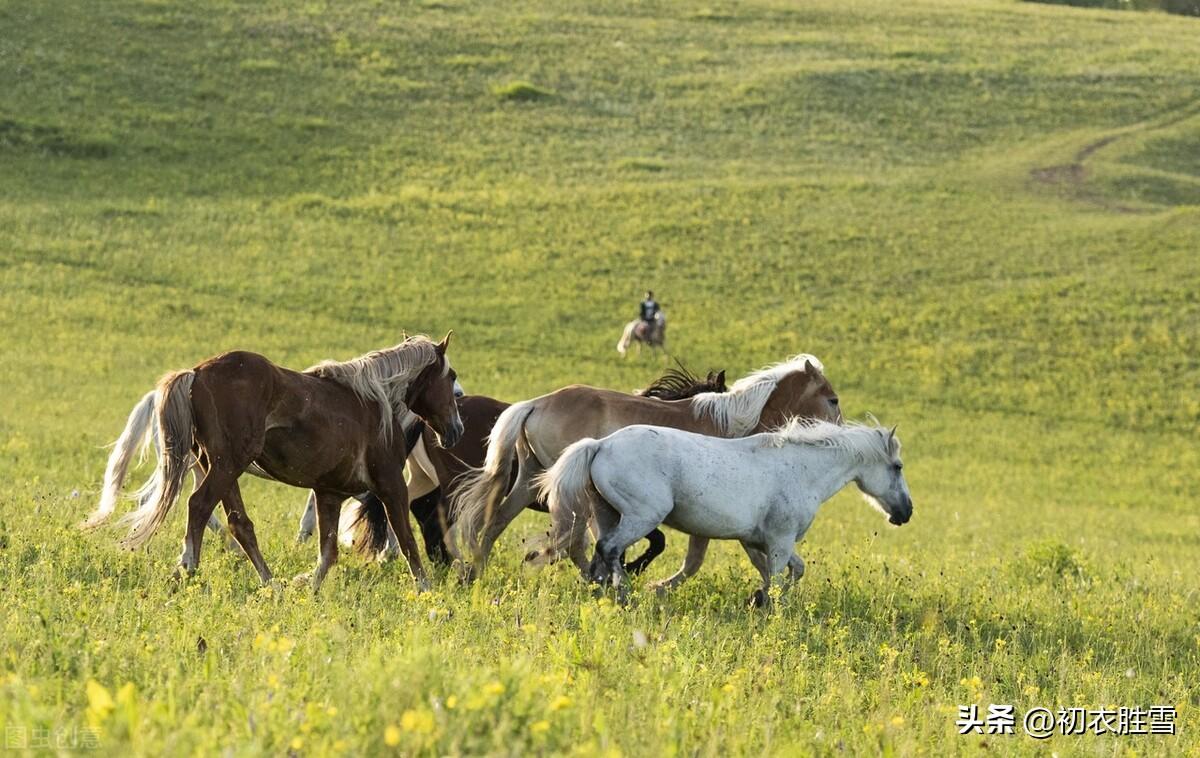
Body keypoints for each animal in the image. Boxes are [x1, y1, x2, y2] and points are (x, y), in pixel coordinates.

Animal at [81, 333, 463, 592]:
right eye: (451, 376)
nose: (456, 429)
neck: (376, 402)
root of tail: (196, 373)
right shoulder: (390, 486)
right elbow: (407, 542)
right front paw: (425, 590)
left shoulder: (329, 493)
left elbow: (328, 553)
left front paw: (307, 588)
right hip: (226, 465)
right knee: (199, 506)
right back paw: (187, 567)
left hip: (215, 466)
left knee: (238, 524)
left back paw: (270, 583)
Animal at [338, 364, 729, 570]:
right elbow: (653, 540)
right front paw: (628, 569)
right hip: (453, 481)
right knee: (437, 515)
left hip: (427, 478)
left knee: (413, 507)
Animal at [446, 352, 840, 578]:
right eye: (833, 399)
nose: (838, 431)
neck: (732, 427)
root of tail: (536, 403)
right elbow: (701, 558)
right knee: (572, 542)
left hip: (530, 479)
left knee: (497, 522)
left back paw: (478, 573)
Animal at [535, 419, 907, 604]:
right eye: (898, 467)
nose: (905, 513)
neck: (801, 470)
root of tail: (601, 444)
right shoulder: (779, 541)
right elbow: (778, 576)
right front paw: (770, 606)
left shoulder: (757, 541)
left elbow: (789, 571)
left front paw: (759, 599)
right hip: (642, 516)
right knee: (609, 549)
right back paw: (625, 594)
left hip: (608, 514)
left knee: (600, 556)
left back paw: (602, 591)